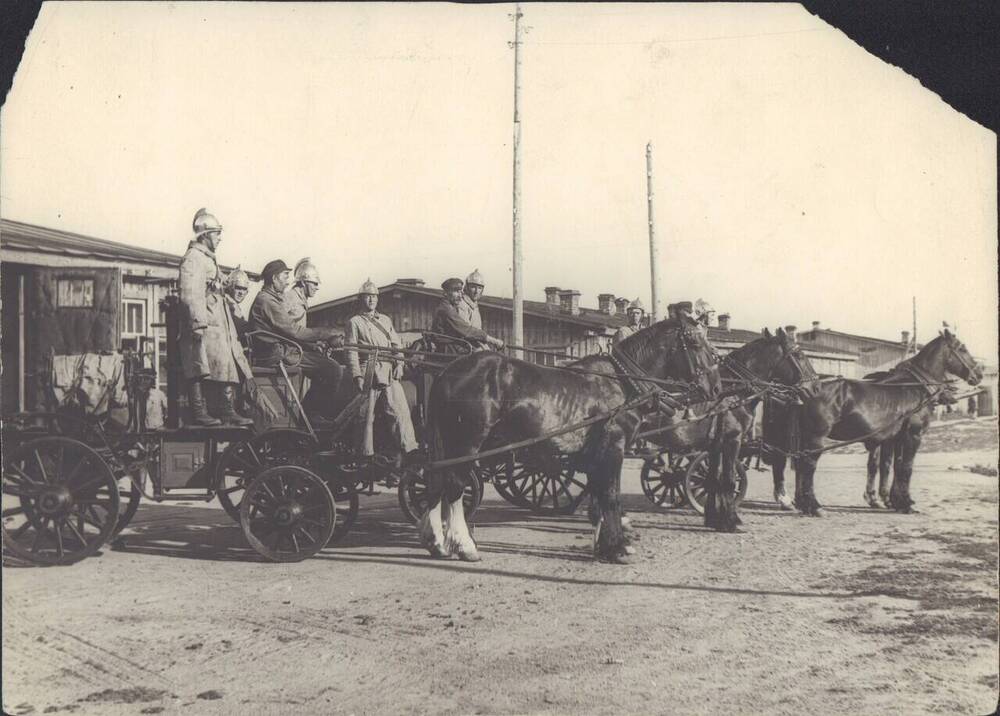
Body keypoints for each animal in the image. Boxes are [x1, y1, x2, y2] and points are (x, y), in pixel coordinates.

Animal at [418, 316, 748, 564]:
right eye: (695, 342)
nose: (716, 388)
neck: (623, 384)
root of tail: (449, 371)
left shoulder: (596, 453)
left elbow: (599, 494)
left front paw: (606, 545)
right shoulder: (614, 447)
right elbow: (611, 495)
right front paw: (618, 548)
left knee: (435, 483)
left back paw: (437, 542)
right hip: (466, 443)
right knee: (454, 487)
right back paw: (464, 545)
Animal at [768, 330, 980, 516]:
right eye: (962, 348)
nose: (978, 374)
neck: (915, 387)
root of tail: (805, 388)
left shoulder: (897, 438)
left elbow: (896, 466)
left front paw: (897, 501)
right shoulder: (913, 435)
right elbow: (906, 468)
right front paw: (907, 503)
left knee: (799, 464)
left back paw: (802, 503)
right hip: (815, 437)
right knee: (807, 466)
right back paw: (813, 506)